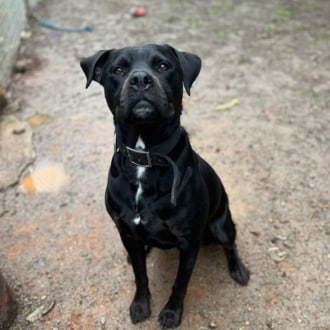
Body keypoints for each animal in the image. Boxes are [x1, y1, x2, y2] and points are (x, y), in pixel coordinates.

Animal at [80, 43, 250, 328]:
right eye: (118, 69)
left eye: (162, 66)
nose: (140, 79)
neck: (146, 156)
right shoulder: (126, 231)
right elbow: (140, 275)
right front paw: (140, 305)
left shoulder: (189, 242)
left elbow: (180, 283)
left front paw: (171, 313)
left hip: (222, 225)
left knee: (231, 244)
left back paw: (238, 269)